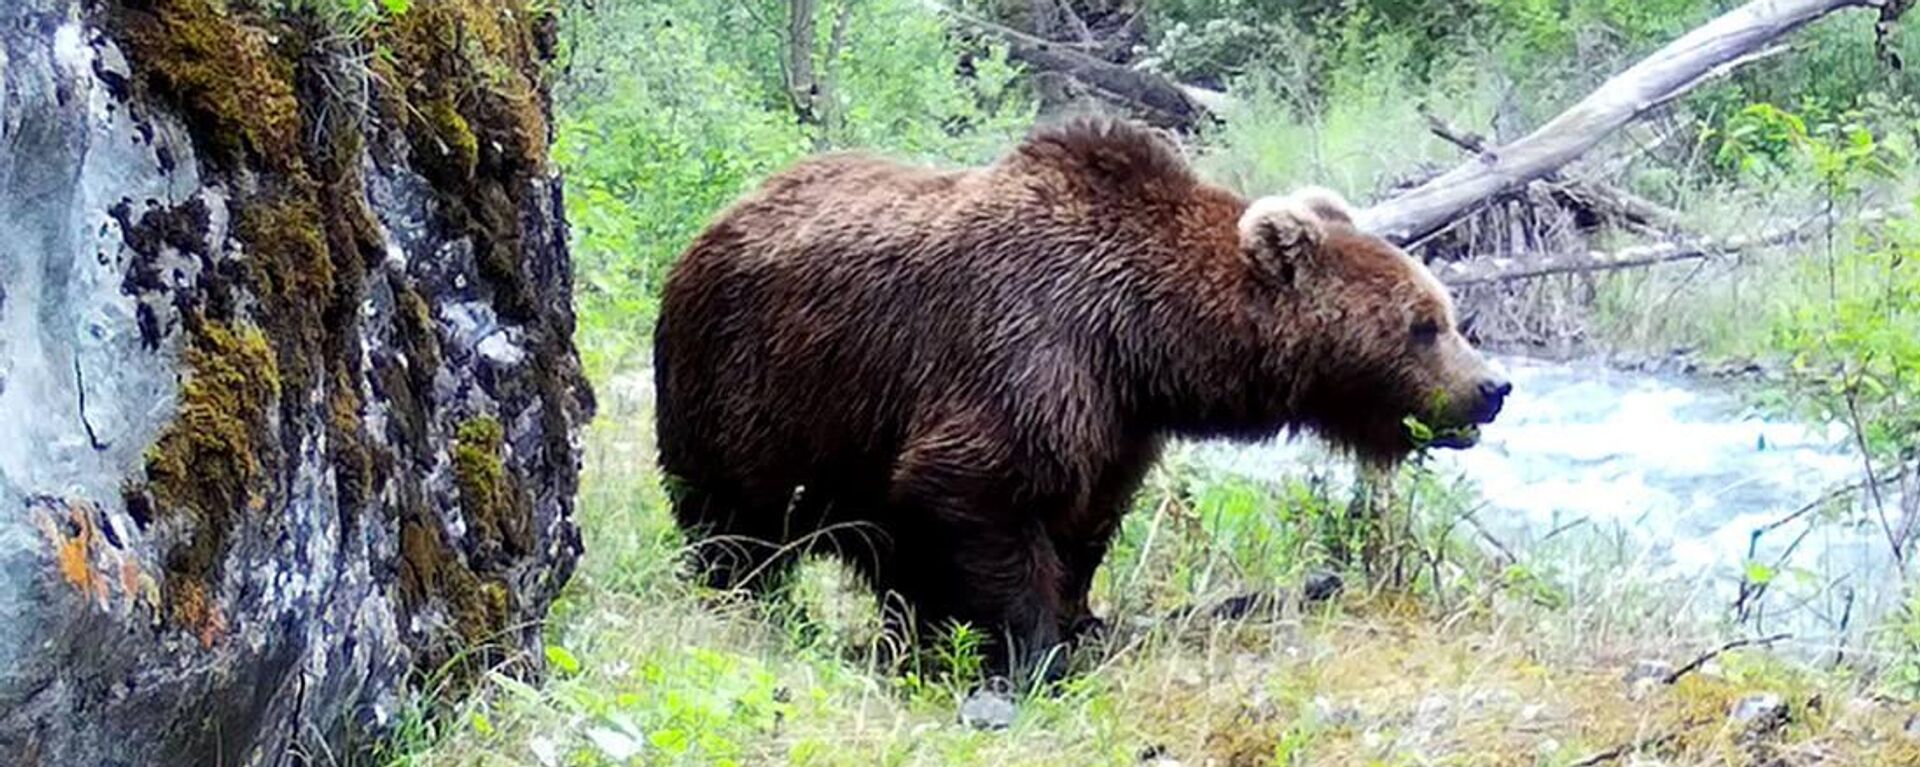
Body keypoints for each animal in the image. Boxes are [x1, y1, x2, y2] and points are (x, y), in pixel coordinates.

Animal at [652, 117, 1509, 685]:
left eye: (1445, 313)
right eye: (1424, 323)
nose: (1492, 387)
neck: (1143, 337)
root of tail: (718, 219)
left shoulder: (1116, 418)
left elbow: (1087, 518)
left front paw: (1078, 617)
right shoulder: (1025, 348)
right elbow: (977, 488)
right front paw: (1033, 651)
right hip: (748, 391)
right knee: (734, 527)